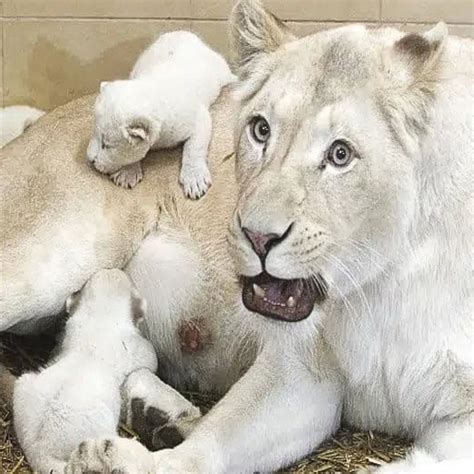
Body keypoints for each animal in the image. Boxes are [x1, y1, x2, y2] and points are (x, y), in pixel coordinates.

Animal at [1, 1, 473, 472]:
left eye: (341, 154)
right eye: (260, 130)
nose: (257, 237)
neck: (385, 281)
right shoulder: (302, 369)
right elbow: (212, 444)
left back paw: (160, 415)